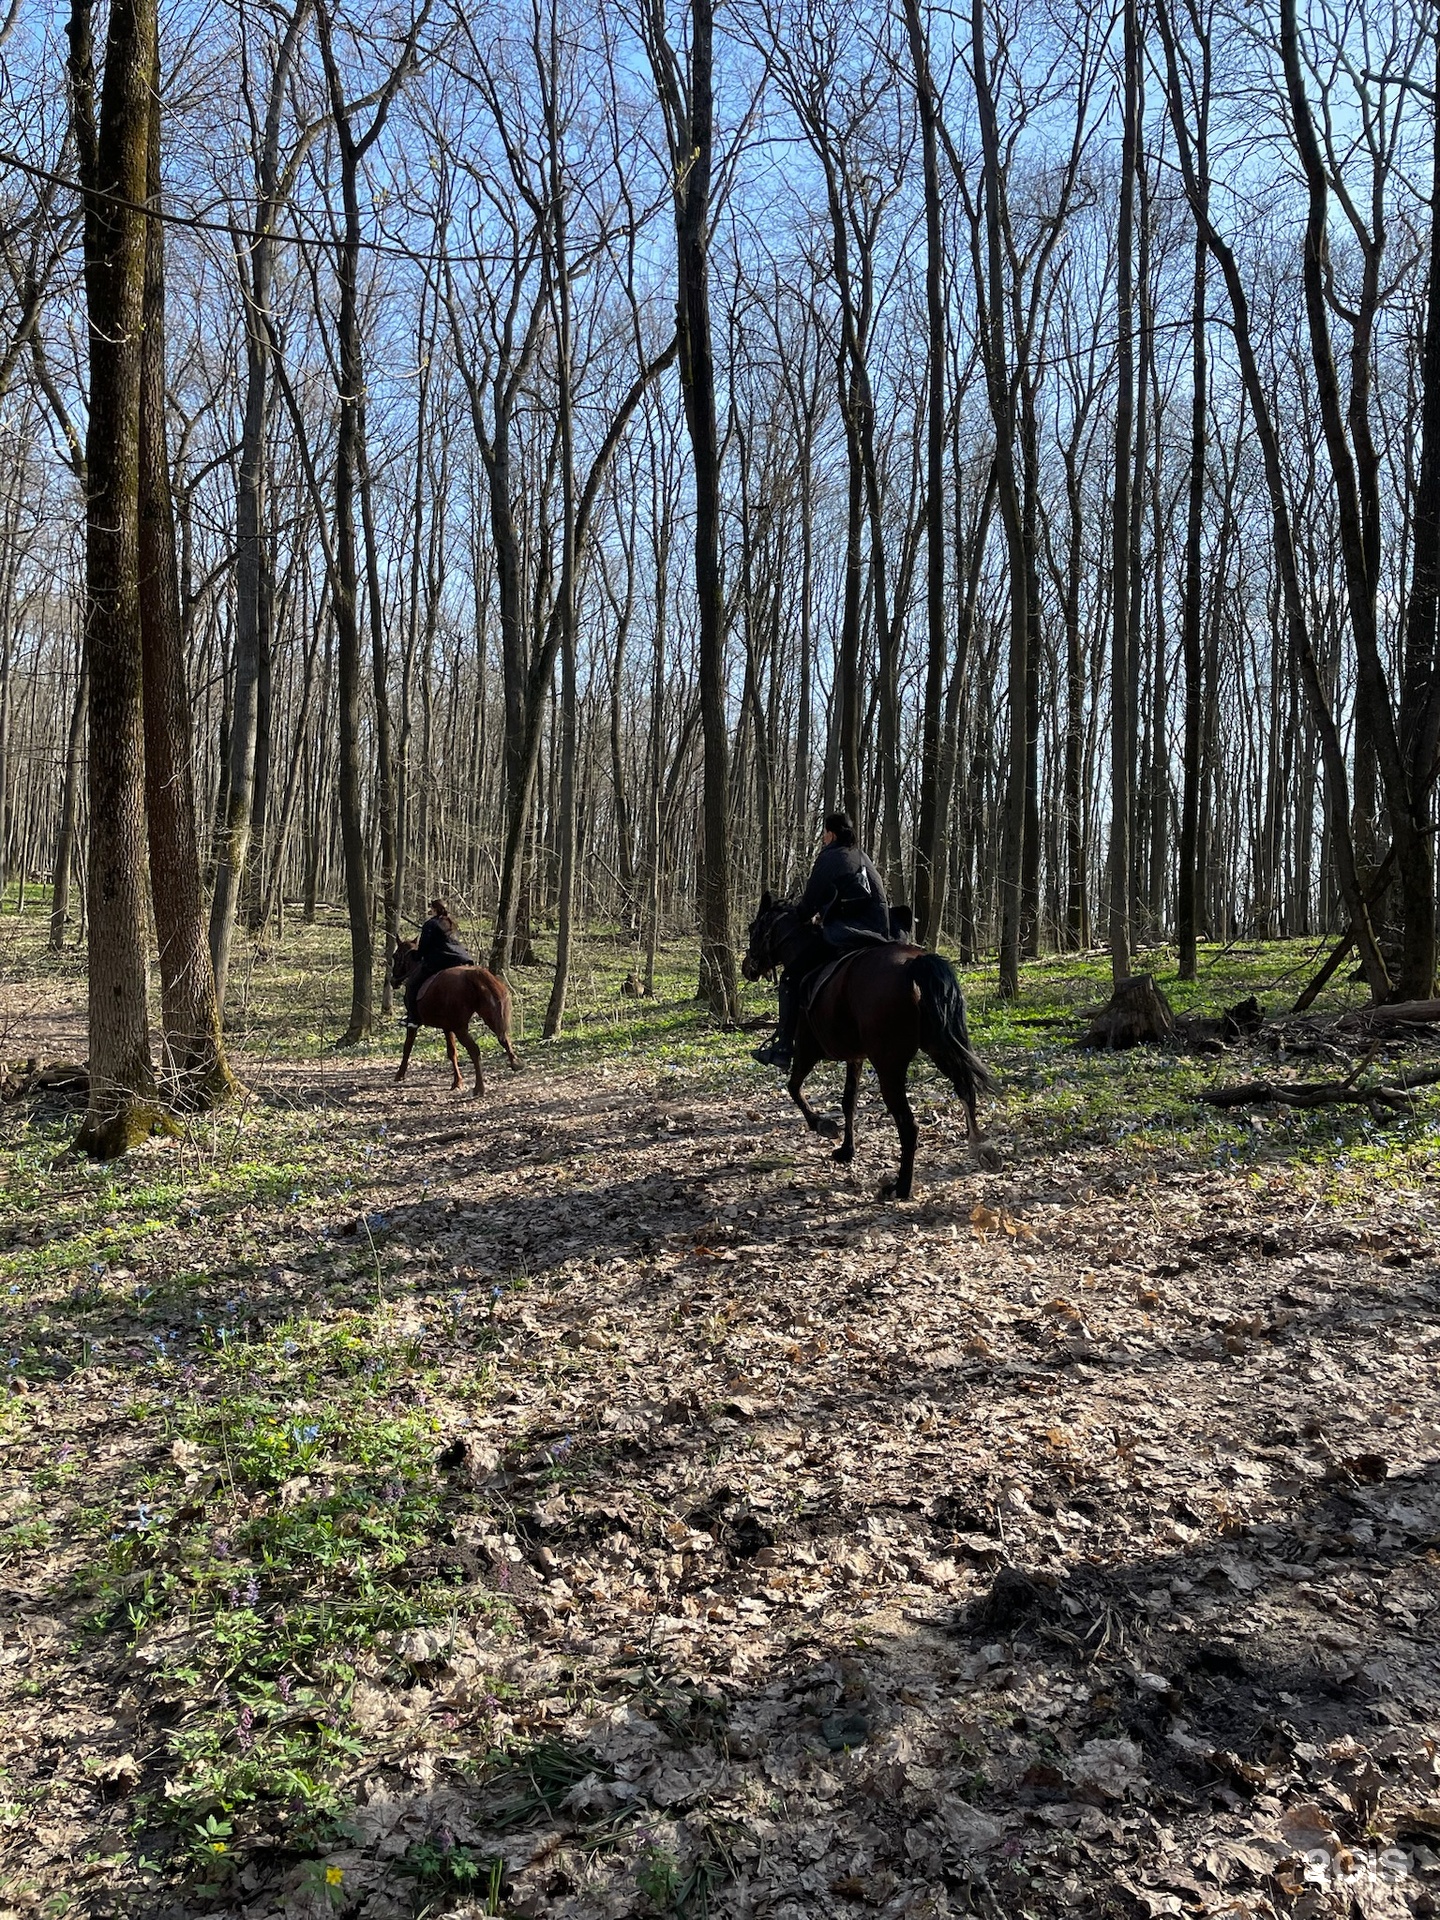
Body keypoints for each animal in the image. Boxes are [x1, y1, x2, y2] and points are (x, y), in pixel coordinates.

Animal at [391, 940, 522, 1098]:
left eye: (395, 956)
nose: (392, 981)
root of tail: (474, 974)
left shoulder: (414, 1023)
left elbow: (407, 1046)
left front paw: (399, 1075)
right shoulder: (448, 1027)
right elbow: (452, 1052)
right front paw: (457, 1082)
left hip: (461, 1028)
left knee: (474, 1050)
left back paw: (479, 1088)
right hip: (489, 1017)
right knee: (504, 1039)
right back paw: (515, 1064)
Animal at [744, 890, 990, 1190]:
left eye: (753, 928)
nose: (747, 968)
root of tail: (914, 964)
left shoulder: (806, 1050)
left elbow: (794, 1088)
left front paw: (822, 1125)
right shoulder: (856, 1057)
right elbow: (848, 1101)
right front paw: (847, 1150)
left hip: (889, 1065)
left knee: (908, 1123)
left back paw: (901, 1186)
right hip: (939, 1047)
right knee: (965, 1088)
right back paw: (981, 1148)